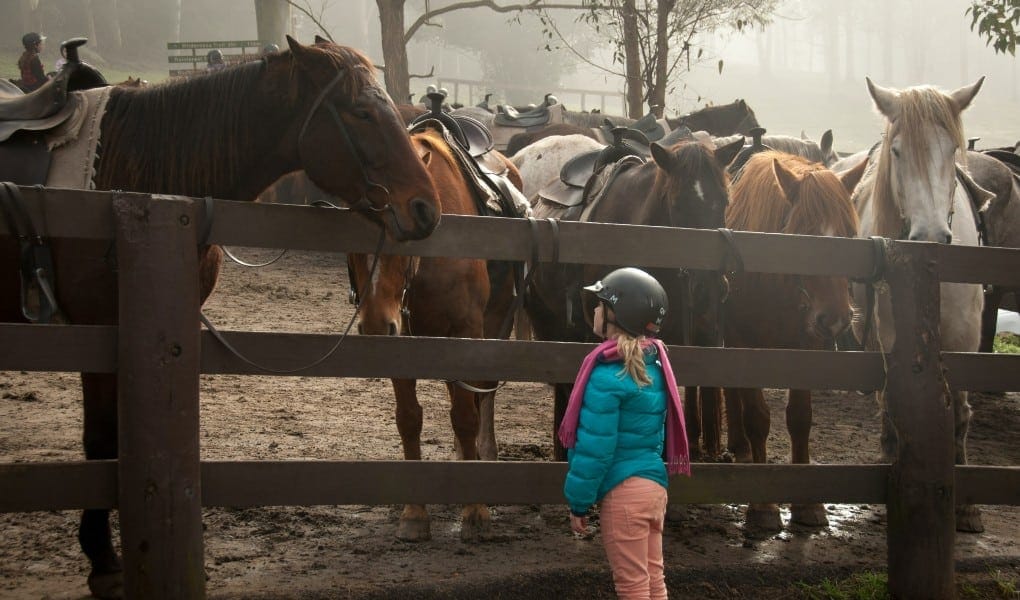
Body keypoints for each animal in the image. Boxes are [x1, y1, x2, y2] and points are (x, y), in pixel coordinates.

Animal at [0, 36, 440, 598]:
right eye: (361, 112)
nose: (426, 208)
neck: (133, 174)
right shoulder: (97, 331)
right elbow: (100, 442)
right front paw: (103, 559)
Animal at [346, 127, 523, 542]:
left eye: (406, 232)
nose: (375, 326)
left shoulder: (466, 334)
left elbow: (466, 416)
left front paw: (475, 510)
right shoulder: (404, 341)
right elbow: (409, 419)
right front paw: (414, 513)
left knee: (482, 397)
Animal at [712, 150, 860, 532]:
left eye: (851, 234)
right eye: (803, 234)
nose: (835, 319)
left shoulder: (806, 349)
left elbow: (800, 418)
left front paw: (807, 504)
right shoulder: (744, 346)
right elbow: (757, 417)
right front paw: (763, 505)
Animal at [850, 77, 987, 533]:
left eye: (951, 149)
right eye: (897, 151)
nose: (929, 235)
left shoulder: (966, 338)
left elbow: (960, 411)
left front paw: (967, 507)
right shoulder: (894, 336)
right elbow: (896, 399)